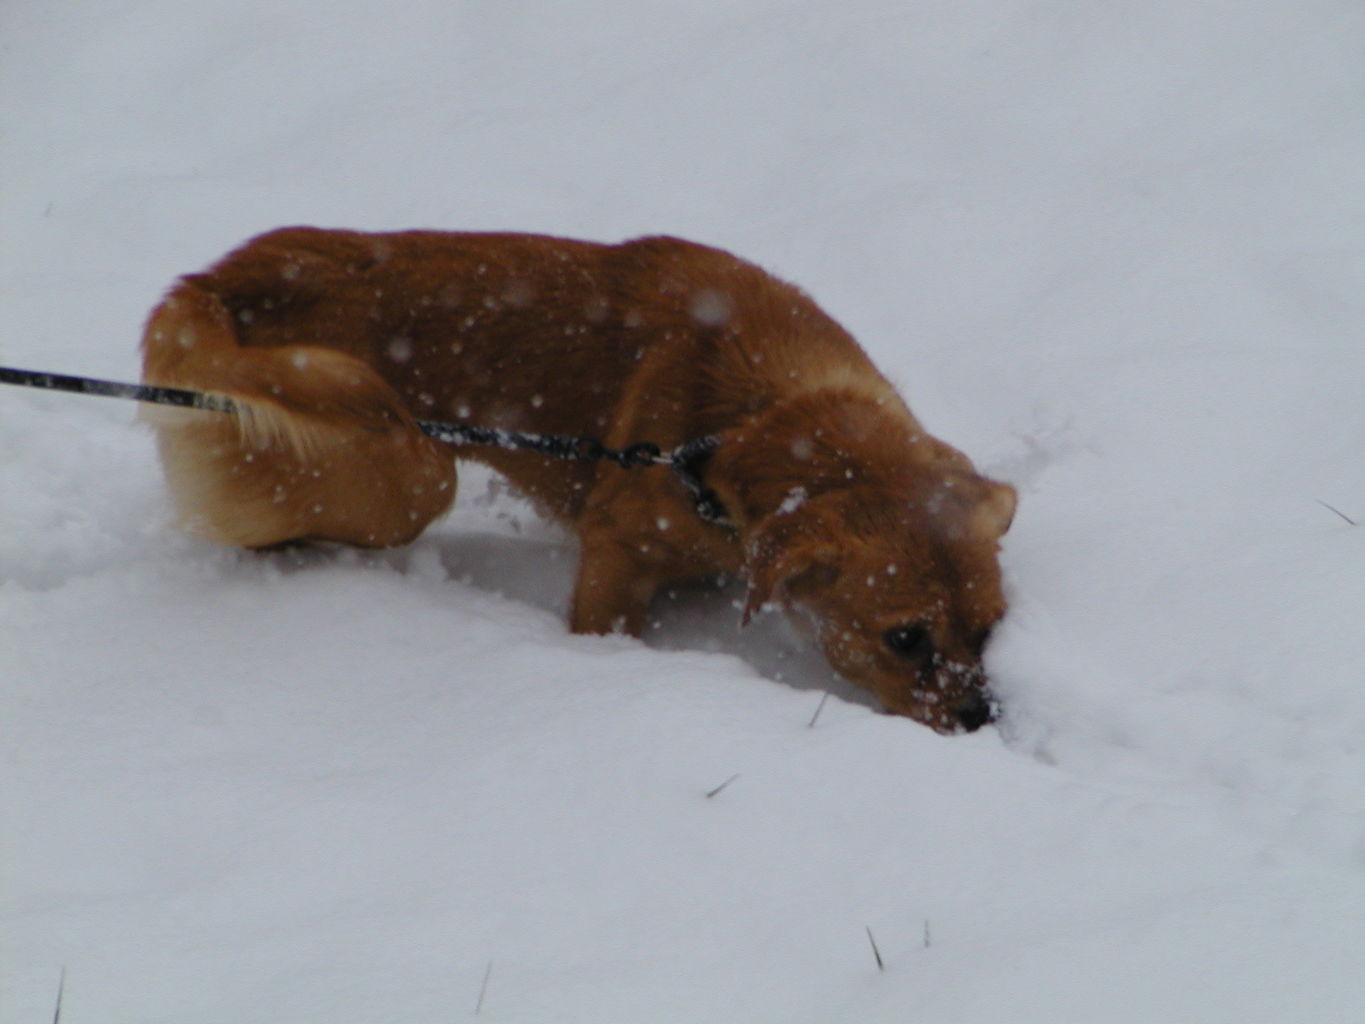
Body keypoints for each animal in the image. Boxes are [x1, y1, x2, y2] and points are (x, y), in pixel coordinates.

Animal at [141, 228, 1015, 731]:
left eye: (993, 626)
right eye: (903, 637)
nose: (980, 719)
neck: (750, 422)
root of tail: (217, 279)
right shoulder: (615, 557)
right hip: (400, 468)